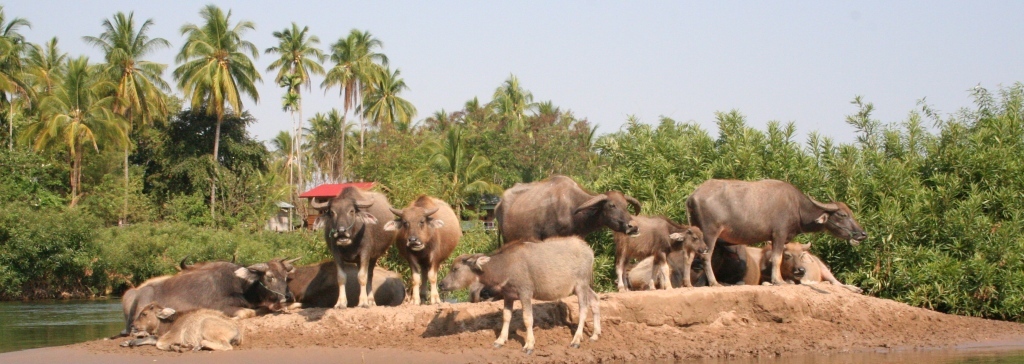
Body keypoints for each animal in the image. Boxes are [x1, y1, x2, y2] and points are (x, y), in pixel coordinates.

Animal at [438, 234, 598, 354]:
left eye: (455, 268)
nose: (441, 284)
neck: (506, 266)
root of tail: (589, 251)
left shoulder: (525, 293)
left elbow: (527, 319)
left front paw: (529, 345)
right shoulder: (508, 295)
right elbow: (506, 317)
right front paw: (500, 340)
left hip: (581, 285)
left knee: (583, 308)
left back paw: (576, 340)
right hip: (583, 286)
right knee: (595, 299)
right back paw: (595, 335)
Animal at [684, 179, 868, 287]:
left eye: (851, 212)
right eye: (842, 215)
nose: (862, 233)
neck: (797, 207)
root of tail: (693, 197)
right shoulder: (779, 234)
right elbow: (777, 258)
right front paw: (778, 280)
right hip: (710, 233)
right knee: (706, 256)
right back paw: (714, 283)